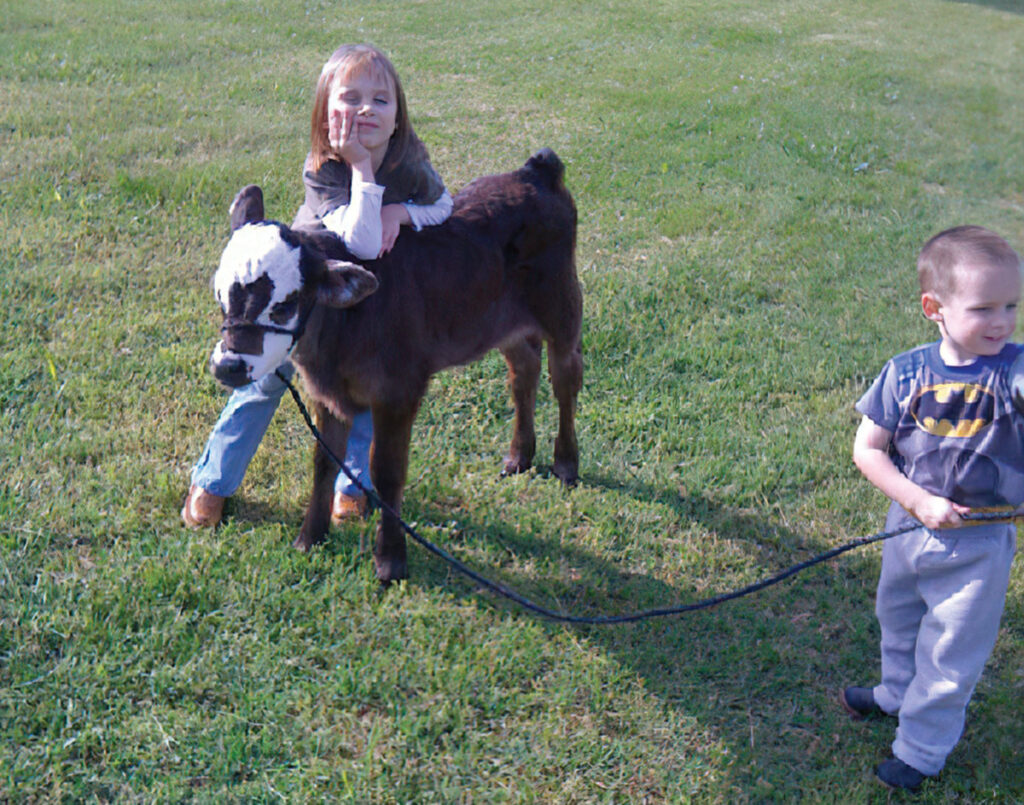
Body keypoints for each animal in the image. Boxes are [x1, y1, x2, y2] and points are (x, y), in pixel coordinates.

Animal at [207, 147, 585, 581]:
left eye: (285, 305)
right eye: (220, 293)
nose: (228, 366)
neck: (338, 337)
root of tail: (535, 170)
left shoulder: (398, 392)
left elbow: (387, 473)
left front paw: (390, 560)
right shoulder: (328, 395)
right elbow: (324, 462)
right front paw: (310, 538)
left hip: (563, 309)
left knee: (565, 379)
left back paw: (565, 463)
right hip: (504, 326)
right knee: (523, 374)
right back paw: (520, 456)